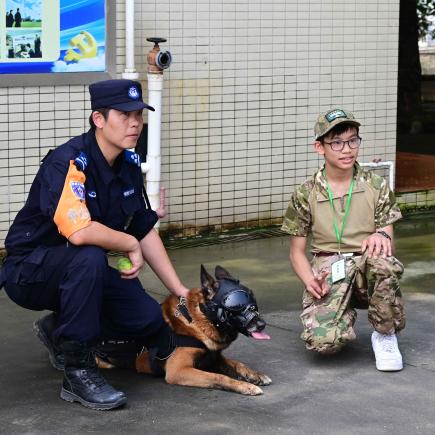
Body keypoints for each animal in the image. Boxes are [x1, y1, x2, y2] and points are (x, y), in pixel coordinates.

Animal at [97, 266, 272, 396]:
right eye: (237, 306)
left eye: (253, 301)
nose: (262, 324)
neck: (201, 318)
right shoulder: (178, 371)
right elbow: (219, 377)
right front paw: (245, 386)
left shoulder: (213, 358)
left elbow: (237, 363)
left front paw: (255, 375)